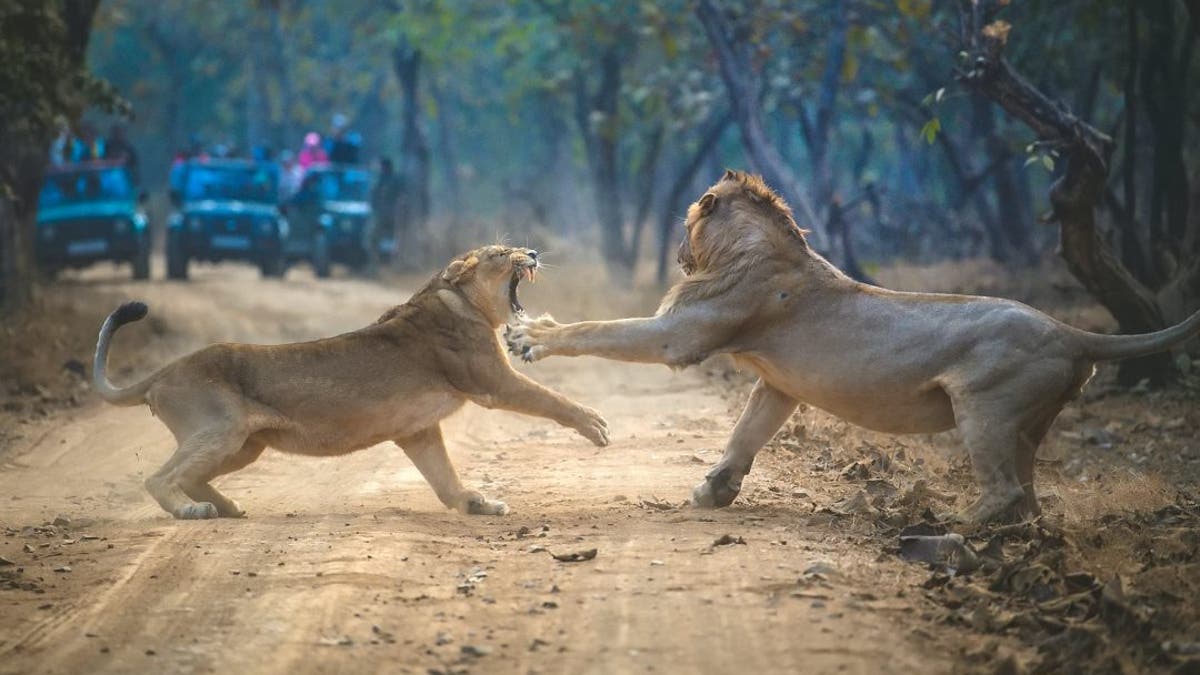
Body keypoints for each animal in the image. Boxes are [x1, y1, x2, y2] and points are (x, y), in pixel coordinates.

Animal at [93, 243, 609, 516]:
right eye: (501, 253)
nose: (533, 252)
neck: (454, 298)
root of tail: (162, 372)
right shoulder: (492, 384)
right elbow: (550, 398)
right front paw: (594, 424)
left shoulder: (418, 430)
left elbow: (444, 478)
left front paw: (476, 503)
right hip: (221, 428)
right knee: (159, 477)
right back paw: (192, 511)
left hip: (245, 445)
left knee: (193, 475)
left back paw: (227, 508)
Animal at [506, 169, 1200, 521]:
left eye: (686, 224)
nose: (677, 251)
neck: (760, 247)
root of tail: (1071, 331)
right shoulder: (778, 383)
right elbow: (744, 435)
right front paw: (713, 493)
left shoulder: (683, 335)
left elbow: (602, 329)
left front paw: (531, 336)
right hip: (1029, 424)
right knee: (1027, 498)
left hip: (986, 409)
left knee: (1004, 490)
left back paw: (950, 529)